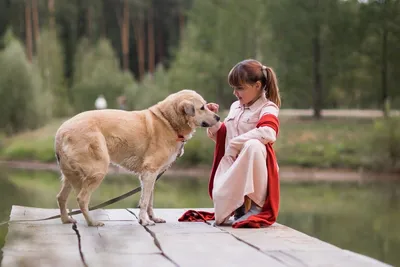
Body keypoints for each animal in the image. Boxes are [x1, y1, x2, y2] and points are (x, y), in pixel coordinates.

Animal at [54, 89, 220, 226]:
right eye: (202, 107)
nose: (218, 117)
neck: (168, 121)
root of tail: (61, 130)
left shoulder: (152, 175)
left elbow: (150, 201)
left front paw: (153, 218)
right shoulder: (150, 172)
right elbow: (145, 201)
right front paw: (145, 221)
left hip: (71, 175)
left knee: (61, 197)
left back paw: (66, 219)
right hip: (97, 170)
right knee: (81, 199)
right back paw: (92, 222)